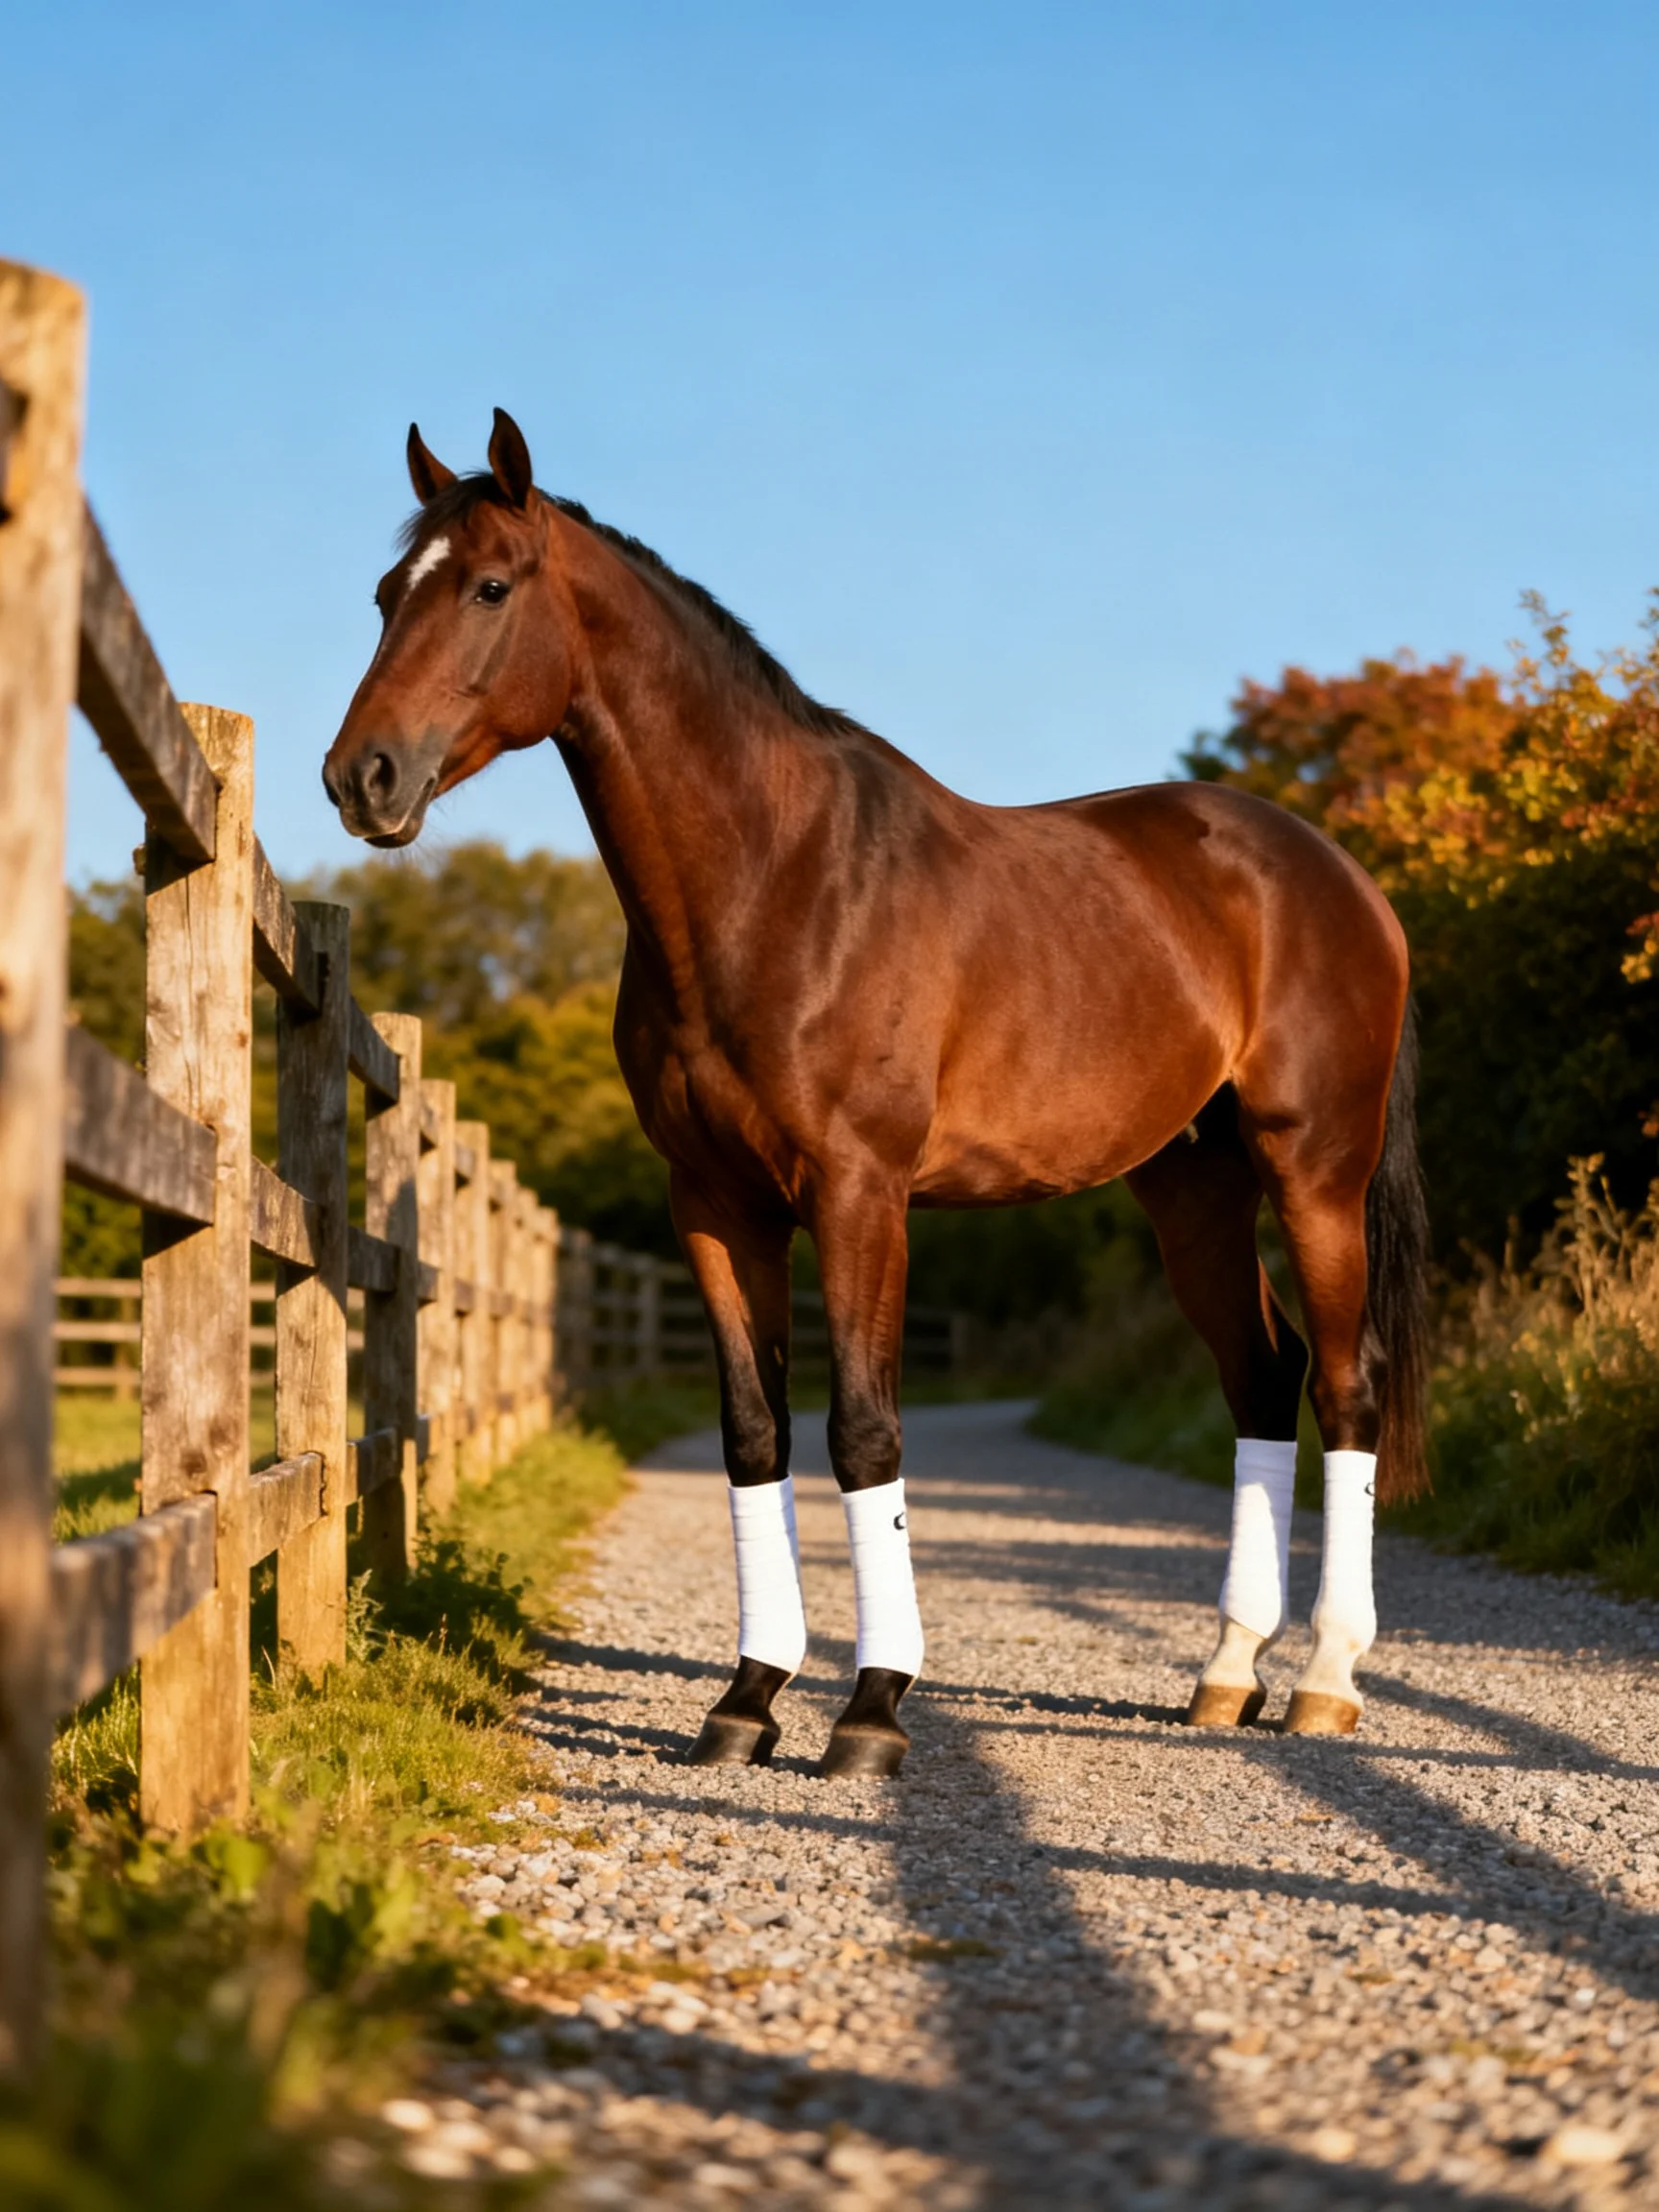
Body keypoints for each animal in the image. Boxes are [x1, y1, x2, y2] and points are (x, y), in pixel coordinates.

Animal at [323, 409, 1428, 1778]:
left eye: (488, 587)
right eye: (385, 595)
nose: (361, 778)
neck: (778, 880)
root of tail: (1341, 878)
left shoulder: (860, 1192)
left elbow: (864, 1431)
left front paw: (872, 1709)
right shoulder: (717, 1203)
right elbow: (756, 1433)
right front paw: (747, 1700)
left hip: (1312, 1169)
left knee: (1345, 1385)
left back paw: (1326, 1679)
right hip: (1194, 1191)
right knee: (1262, 1380)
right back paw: (1227, 1674)